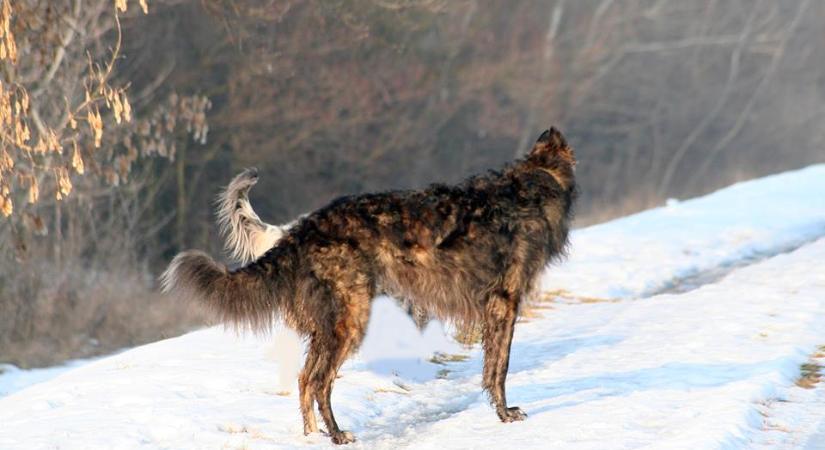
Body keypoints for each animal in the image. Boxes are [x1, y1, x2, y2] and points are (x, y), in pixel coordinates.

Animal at [161, 125, 572, 442]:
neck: (530, 186)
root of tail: (302, 229)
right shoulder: (505, 303)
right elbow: (499, 368)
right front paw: (506, 414)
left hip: (329, 325)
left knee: (304, 380)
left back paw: (314, 437)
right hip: (349, 320)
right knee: (318, 381)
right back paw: (337, 435)